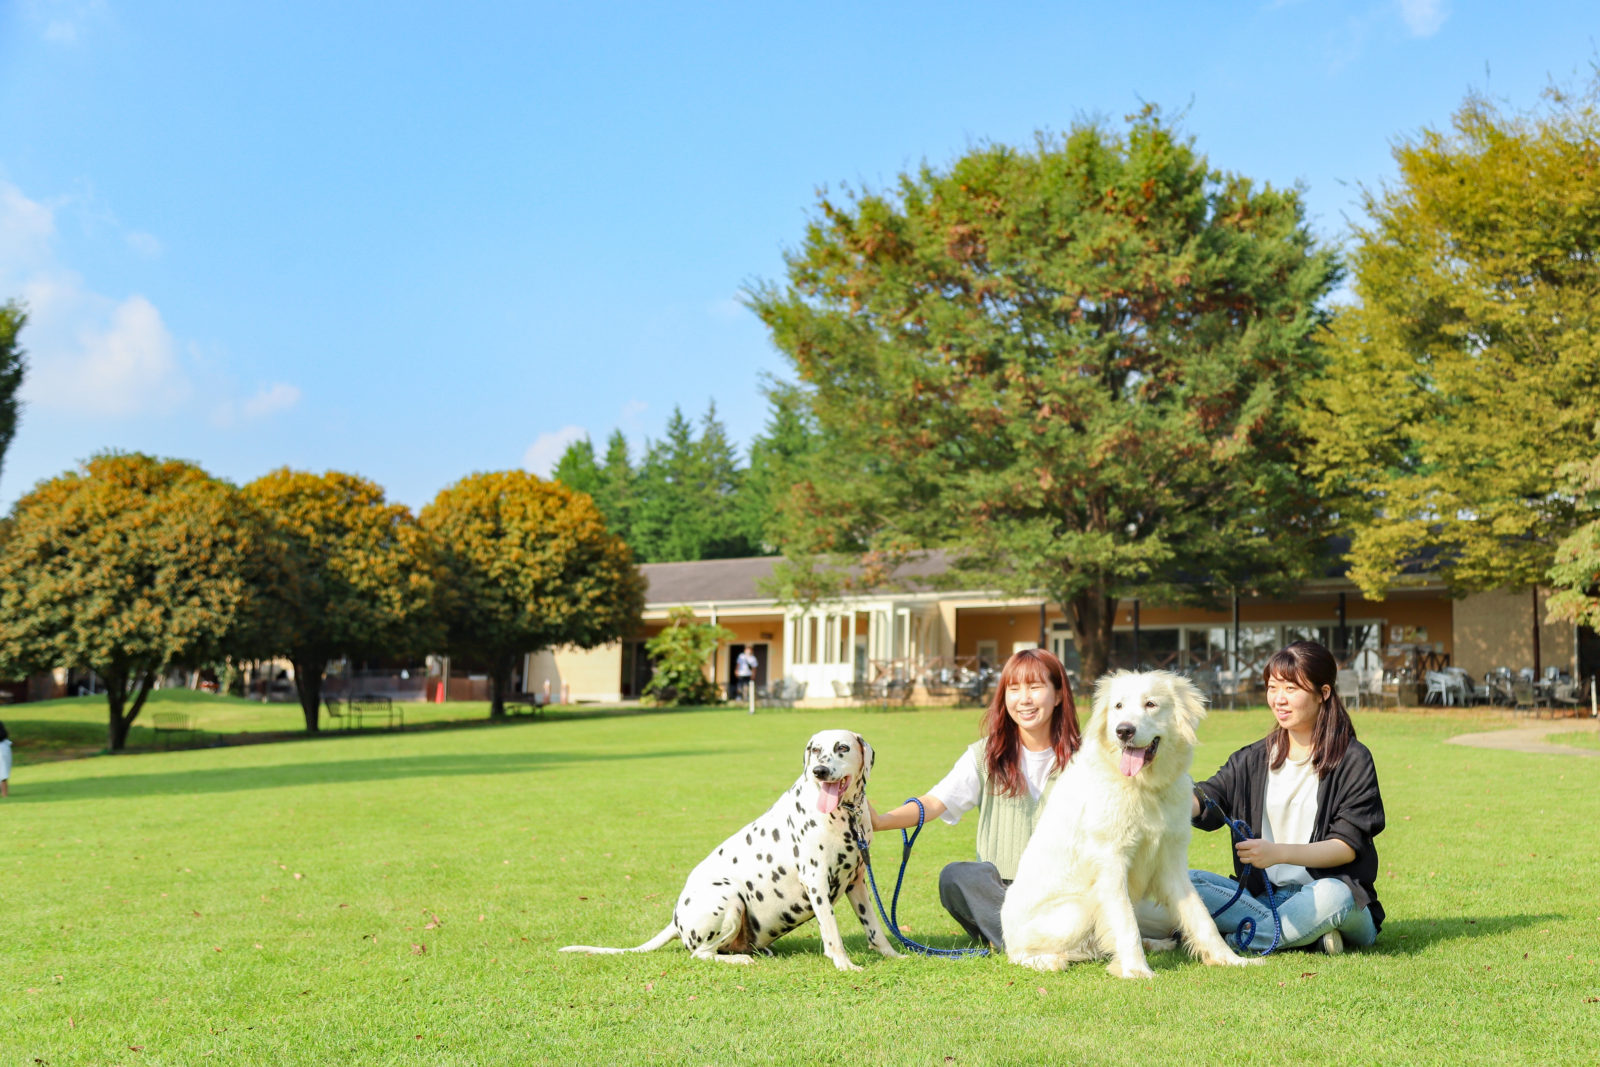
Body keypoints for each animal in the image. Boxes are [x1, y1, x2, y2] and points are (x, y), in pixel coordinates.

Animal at [563, 729, 896, 972]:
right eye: (815, 749)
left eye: (843, 747)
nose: (820, 770)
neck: (845, 816)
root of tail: (676, 920)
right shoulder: (816, 882)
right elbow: (832, 933)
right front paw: (844, 964)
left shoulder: (857, 882)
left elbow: (874, 928)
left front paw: (893, 954)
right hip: (729, 898)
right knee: (701, 953)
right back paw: (739, 958)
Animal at [1004, 671, 1254, 979]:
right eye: (1119, 706)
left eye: (1150, 704)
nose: (1124, 731)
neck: (1144, 788)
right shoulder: (1111, 863)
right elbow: (1125, 923)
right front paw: (1137, 970)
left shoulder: (1171, 862)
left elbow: (1200, 916)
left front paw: (1230, 959)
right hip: (1078, 910)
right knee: (1022, 955)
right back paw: (1050, 960)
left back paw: (1156, 943)